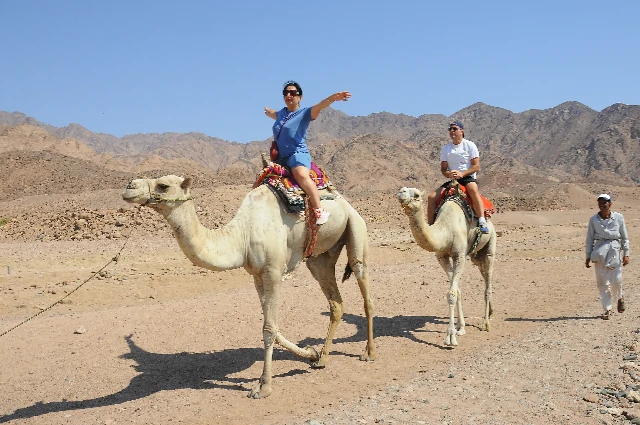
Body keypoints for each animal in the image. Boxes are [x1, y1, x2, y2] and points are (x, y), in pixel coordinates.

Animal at [122, 175, 375, 398]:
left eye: (163, 185)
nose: (129, 187)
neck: (241, 235)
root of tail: (344, 201)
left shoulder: (273, 272)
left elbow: (269, 329)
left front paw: (263, 387)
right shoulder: (256, 275)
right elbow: (273, 327)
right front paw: (310, 354)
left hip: (356, 229)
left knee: (364, 289)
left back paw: (369, 352)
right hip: (319, 258)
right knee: (336, 303)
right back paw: (323, 358)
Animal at [396, 186, 496, 347]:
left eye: (416, 194)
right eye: (404, 189)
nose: (402, 191)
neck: (446, 229)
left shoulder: (459, 255)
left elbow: (451, 293)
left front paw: (450, 337)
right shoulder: (442, 256)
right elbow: (457, 290)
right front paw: (460, 327)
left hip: (490, 246)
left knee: (488, 285)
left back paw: (486, 324)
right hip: (476, 256)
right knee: (482, 271)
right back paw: (490, 312)